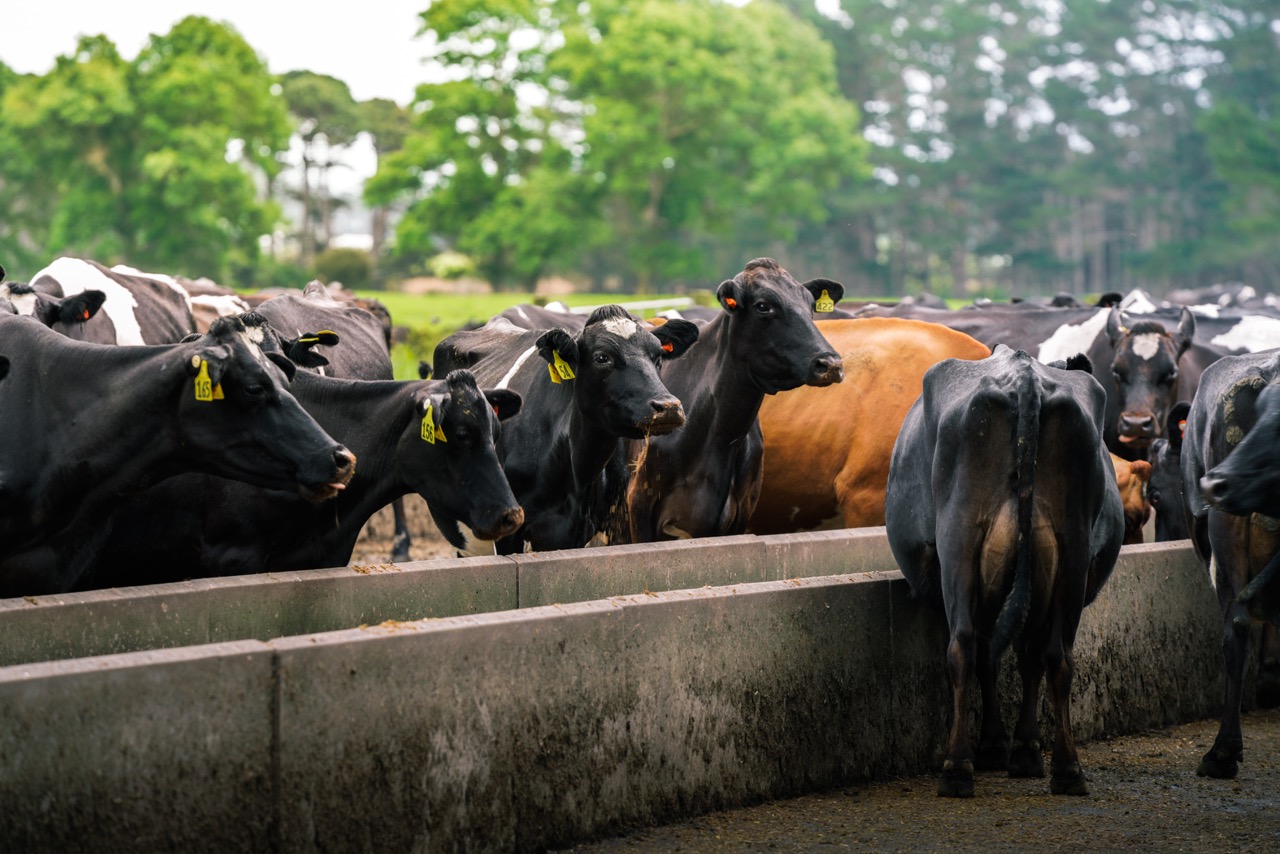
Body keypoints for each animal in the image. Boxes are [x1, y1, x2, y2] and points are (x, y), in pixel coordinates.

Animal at [886, 346, 1124, 797]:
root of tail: (1024, 374)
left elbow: (992, 657)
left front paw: (998, 745)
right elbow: (1023, 656)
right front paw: (1021, 749)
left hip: (959, 539)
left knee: (964, 646)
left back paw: (957, 767)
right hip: (1071, 550)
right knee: (1056, 654)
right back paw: (1067, 769)